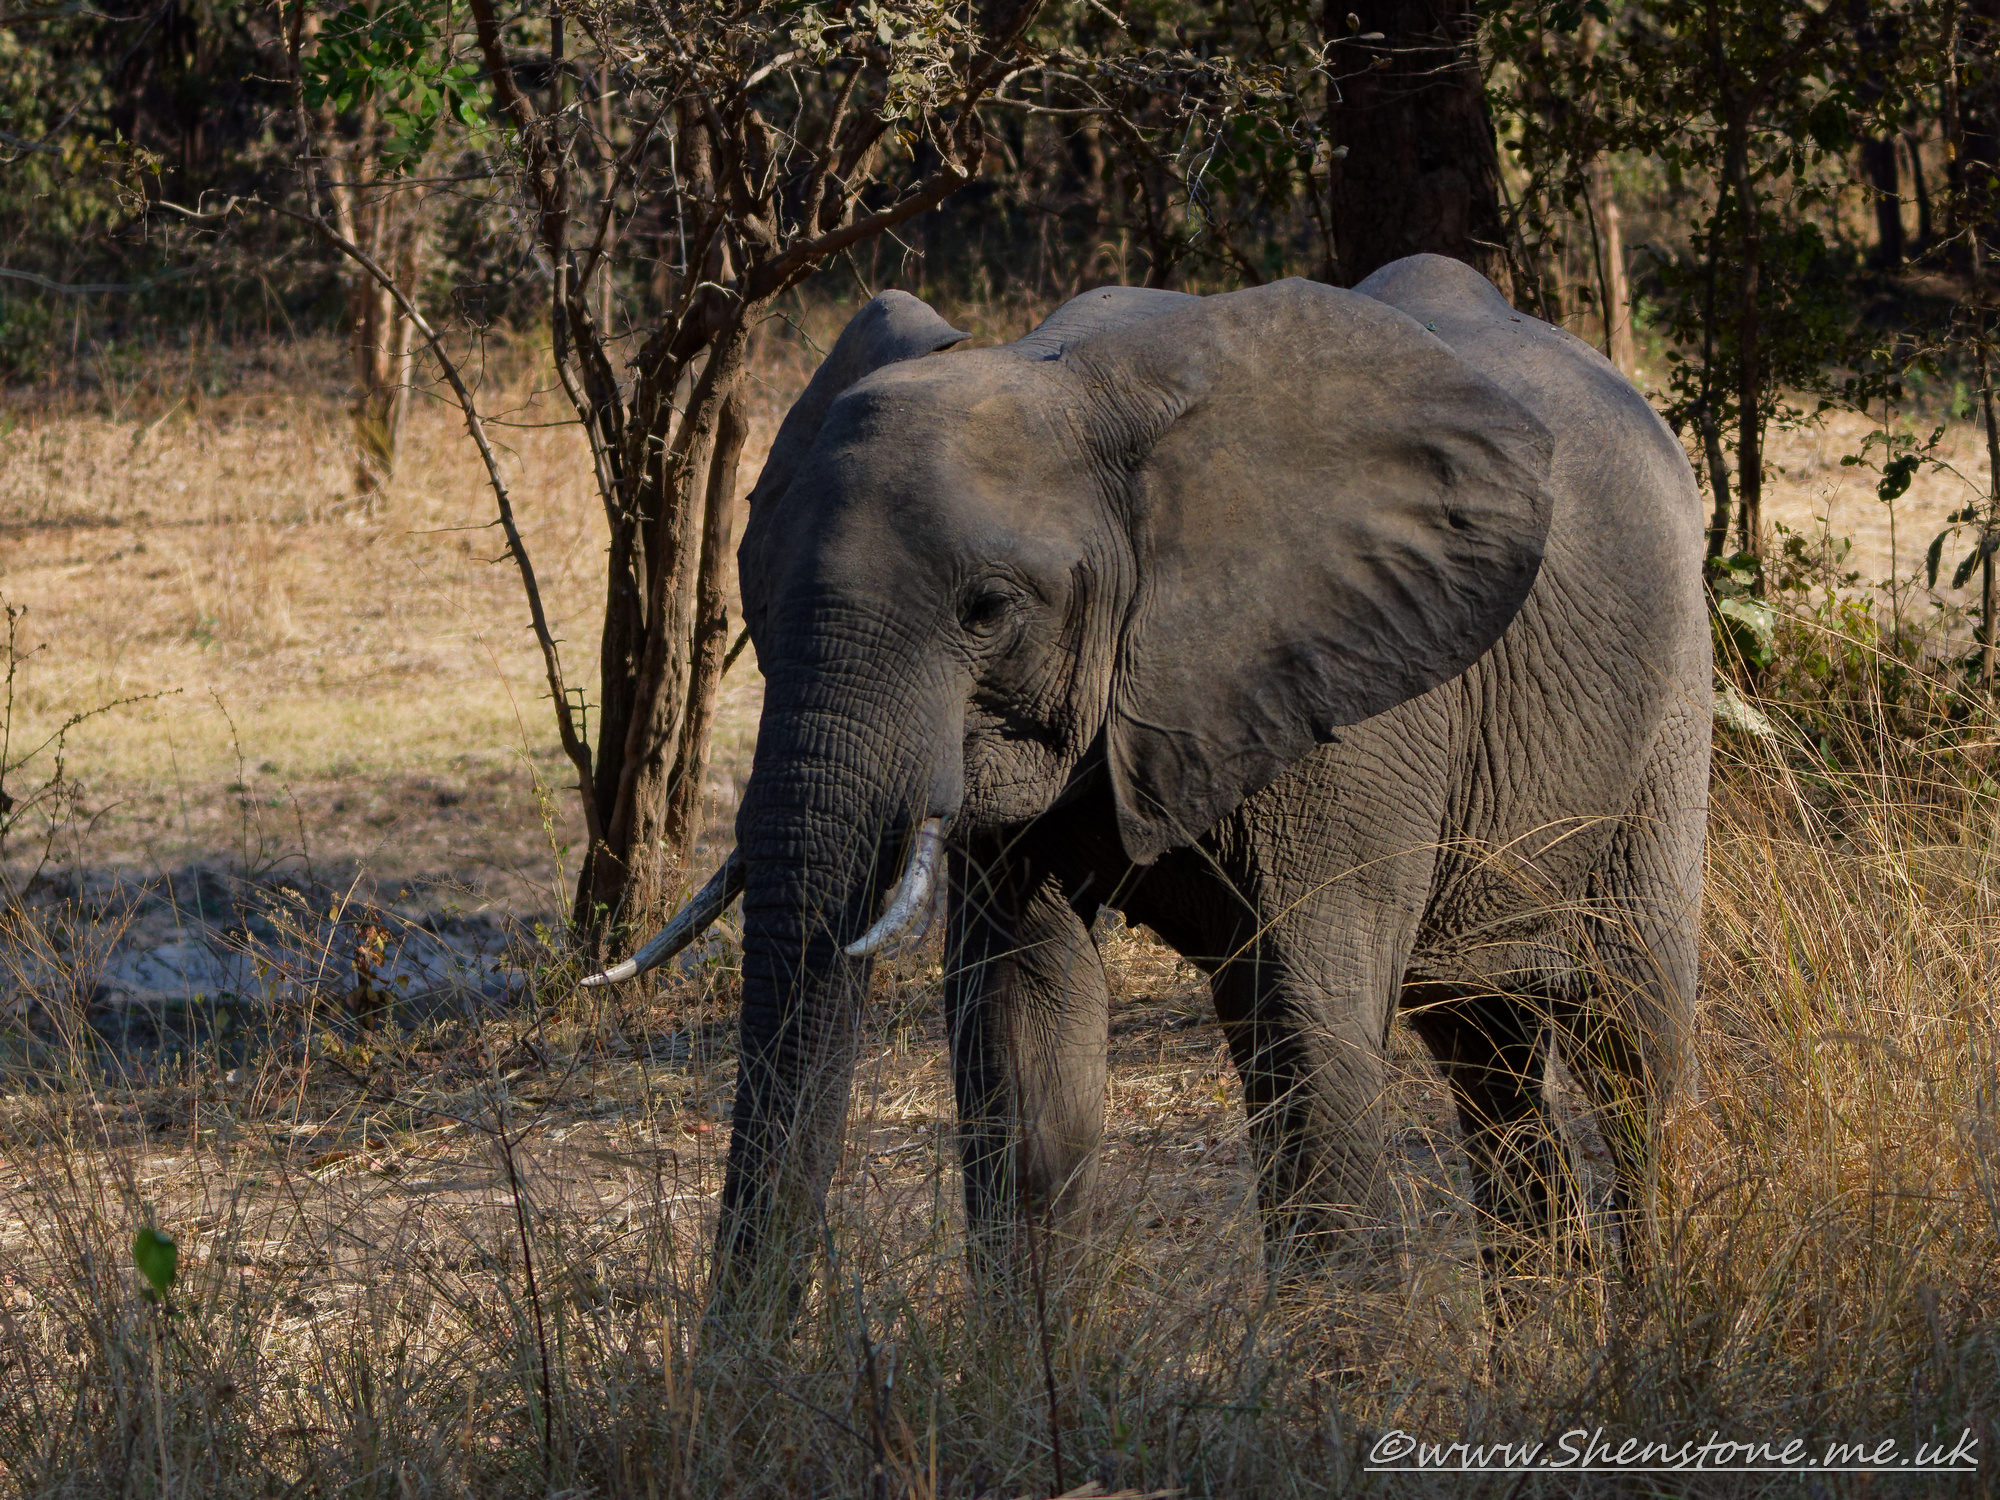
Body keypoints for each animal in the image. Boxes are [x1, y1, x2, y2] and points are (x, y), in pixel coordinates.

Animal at [587, 254, 1710, 1312]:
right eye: (755, 594)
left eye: (989, 610)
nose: (734, 1366)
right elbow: (1020, 1020)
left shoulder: (1354, 704)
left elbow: (1305, 1021)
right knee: (1486, 1053)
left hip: (1667, 706)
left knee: (1631, 1036)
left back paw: (1659, 1324)